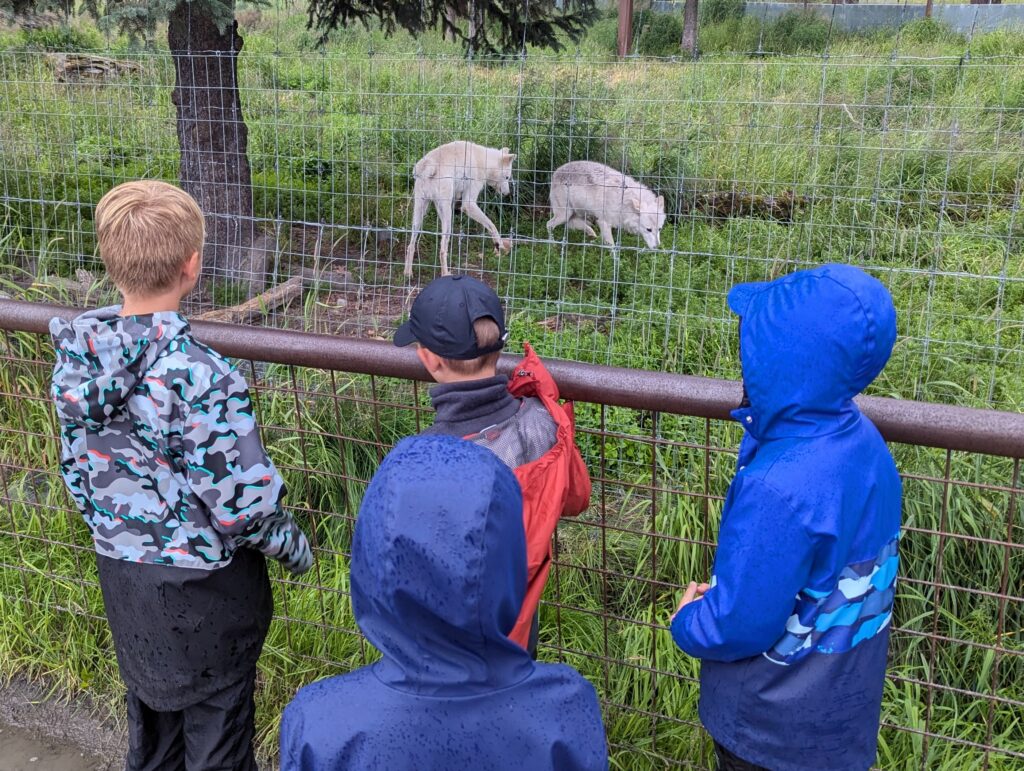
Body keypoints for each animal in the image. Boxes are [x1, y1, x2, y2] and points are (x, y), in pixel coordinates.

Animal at [403, 142, 516, 280]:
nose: (507, 193)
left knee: (410, 245)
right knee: (442, 250)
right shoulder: (468, 204)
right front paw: (499, 245)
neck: (483, 161)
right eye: (507, 177)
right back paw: (445, 274)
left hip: (420, 212)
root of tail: (429, 165)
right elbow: (492, 225)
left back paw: (408, 273)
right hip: (446, 216)